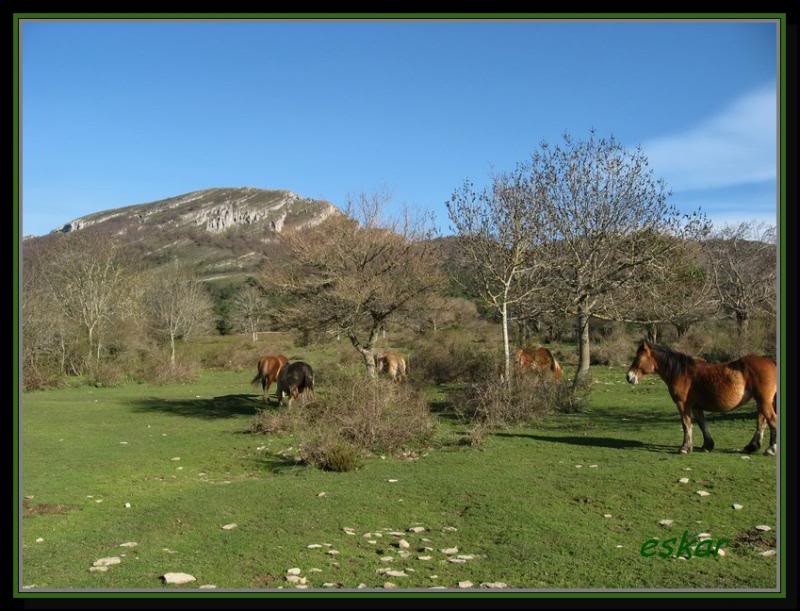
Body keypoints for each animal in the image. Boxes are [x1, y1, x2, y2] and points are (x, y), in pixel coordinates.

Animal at [628, 342, 780, 456]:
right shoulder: (696, 407)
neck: (683, 373)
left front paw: (684, 448)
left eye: (638, 358)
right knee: (762, 421)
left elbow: (686, 424)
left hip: (764, 401)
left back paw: (771, 449)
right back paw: (752, 446)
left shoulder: (682, 405)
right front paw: (707, 445)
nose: (629, 377)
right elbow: (702, 425)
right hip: (762, 401)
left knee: (772, 420)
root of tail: (770, 361)